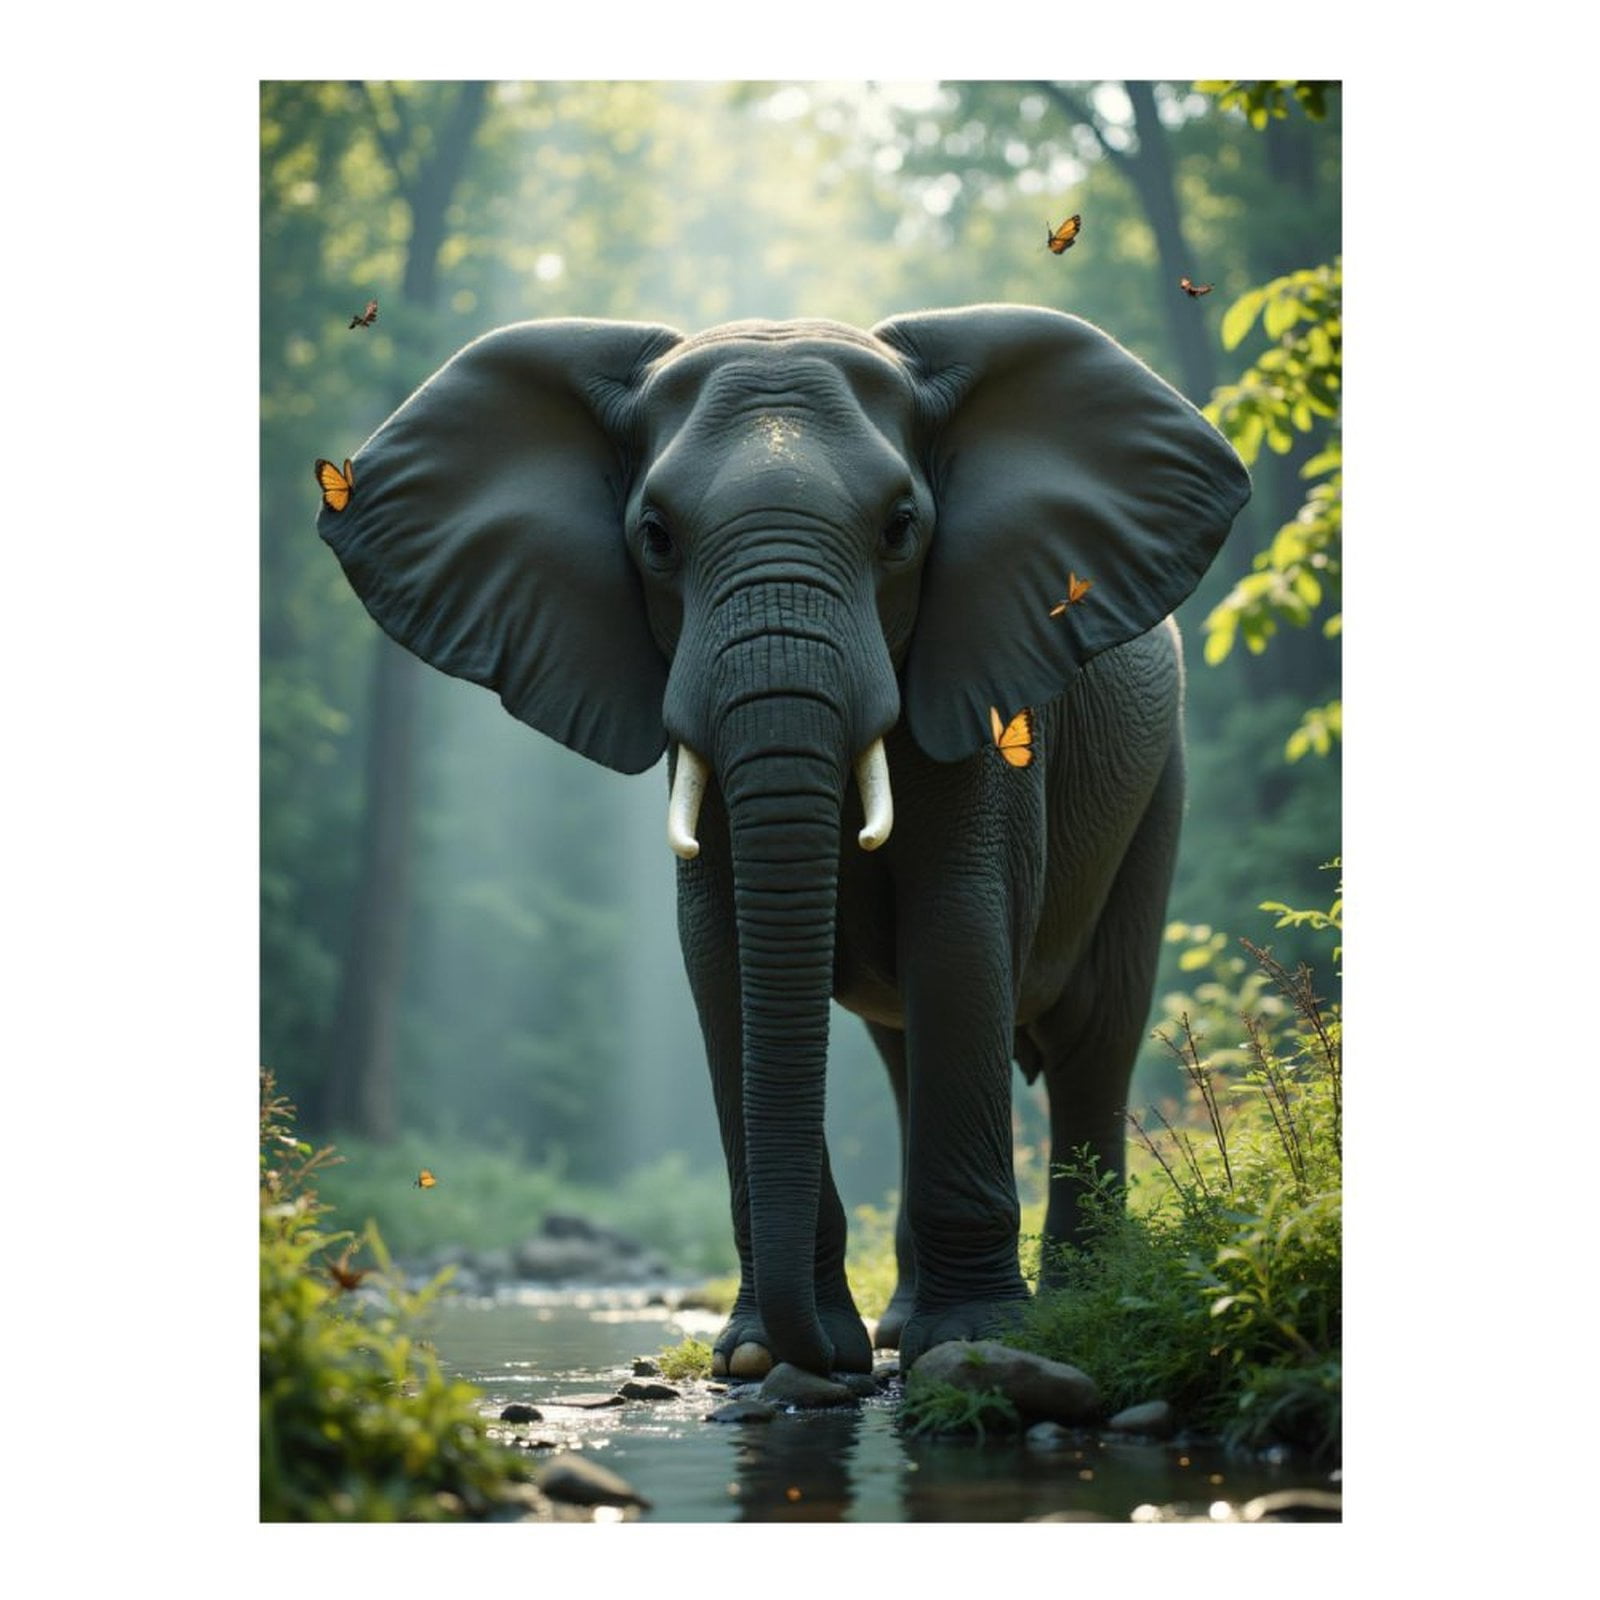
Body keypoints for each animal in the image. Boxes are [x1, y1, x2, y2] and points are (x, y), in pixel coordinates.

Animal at [317, 302, 1250, 1378]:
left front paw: (973, 1342)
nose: (822, 1359)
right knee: (905, 1046)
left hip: (1158, 783)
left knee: (1093, 1029)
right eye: (654, 536)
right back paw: (895, 1326)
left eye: (900, 528)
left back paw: (1068, 1304)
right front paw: (764, 1356)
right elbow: (721, 955)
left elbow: (961, 934)